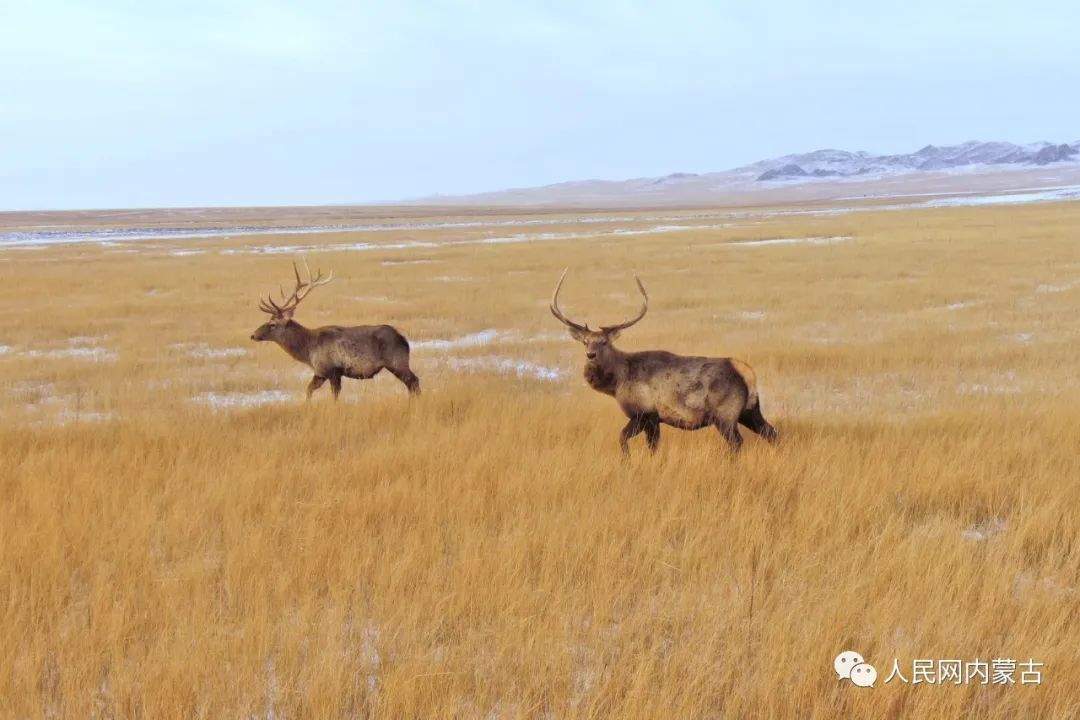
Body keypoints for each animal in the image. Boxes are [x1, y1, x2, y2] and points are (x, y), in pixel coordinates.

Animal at [251, 260, 420, 400]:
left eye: (272, 324)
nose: (253, 335)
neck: (308, 350)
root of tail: (404, 340)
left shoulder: (331, 370)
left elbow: (331, 395)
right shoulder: (321, 373)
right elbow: (309, 390)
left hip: (397, 361)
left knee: (414, 381)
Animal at [550, 269, 777, 454]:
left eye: (604, 342)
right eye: (585, 342)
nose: (590, 355)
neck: (617, 383)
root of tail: (747, 373)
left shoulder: (645, 413)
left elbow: (626, 439)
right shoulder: (654, 419)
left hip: (725, 414)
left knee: (737, 442)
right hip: (749, 409)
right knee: (771, 432)